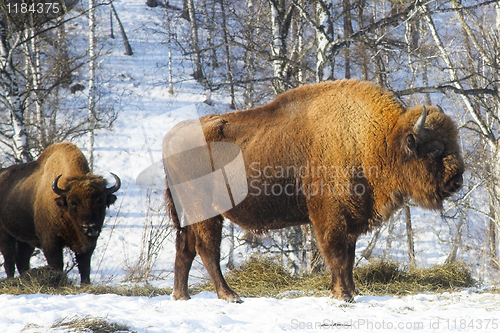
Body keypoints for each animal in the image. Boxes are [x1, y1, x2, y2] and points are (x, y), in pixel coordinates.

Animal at [0, 141, 120, 284]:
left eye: (100, 201)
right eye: (73, 203)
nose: (89, 226)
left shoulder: (88, 245)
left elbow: (85, 266)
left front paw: (85, 284)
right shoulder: (51, 243)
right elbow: (57, 264)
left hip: (26, 238)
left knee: (21, 259)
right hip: (5, 235)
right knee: (9, 259)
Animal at [164, 79, 464, 302]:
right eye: (435, 149)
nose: (457, 180)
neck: (379, 139)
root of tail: (171, 137)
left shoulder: (351, 217)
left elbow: (349, 256)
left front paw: (351, 291)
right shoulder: (330, 215)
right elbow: (337, 254)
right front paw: (343, 295)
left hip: (189, 214)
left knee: (185, 248)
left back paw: (182, 296)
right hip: (206, 211)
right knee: (207, 250)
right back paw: (230, 295)